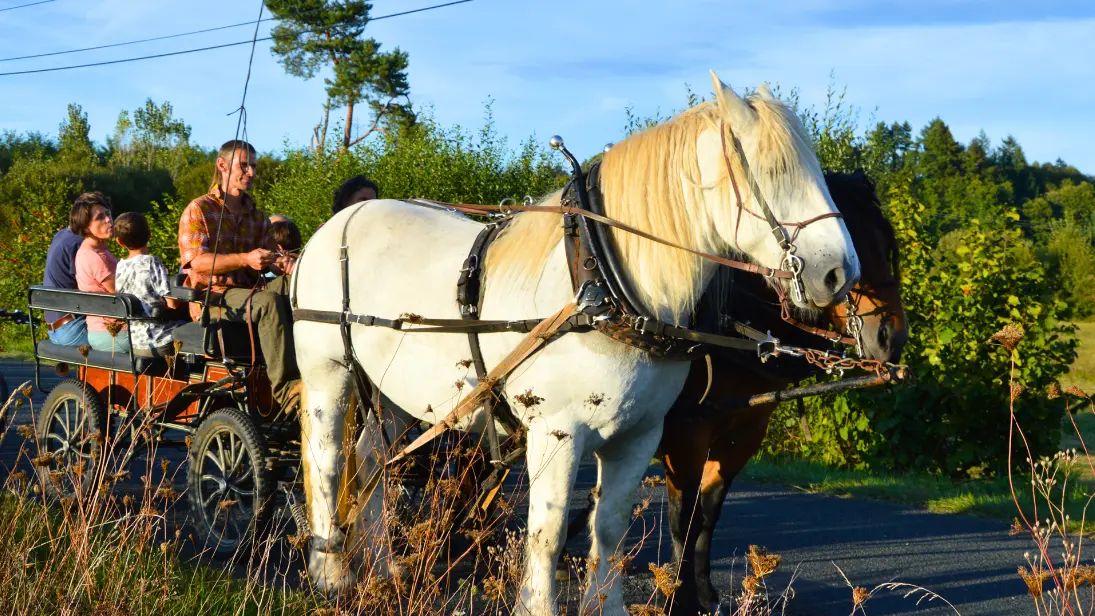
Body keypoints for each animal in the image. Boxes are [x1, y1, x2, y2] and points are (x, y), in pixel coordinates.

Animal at [291, 73, 862, 616]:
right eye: (772, 172)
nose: (839, 273)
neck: (601, 286)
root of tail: (340, 222)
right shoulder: (556, 433)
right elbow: (546, 535)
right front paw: (537, 606)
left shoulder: (639, 436)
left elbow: (608, 529)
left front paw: (605, 606)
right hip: (329, 372)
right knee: (328, 460)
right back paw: (331, 572)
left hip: (393, 393)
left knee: (371, 462)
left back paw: (380, 566)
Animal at [657, 169, 906, 616]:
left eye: (885, 243)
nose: (891, 337)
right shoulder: (685, 436)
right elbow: (681, 520)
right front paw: (678, 600)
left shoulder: (742, 433)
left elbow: (707, 514)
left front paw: (704, 595)